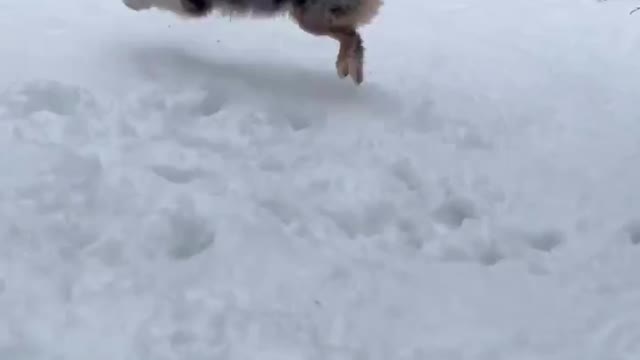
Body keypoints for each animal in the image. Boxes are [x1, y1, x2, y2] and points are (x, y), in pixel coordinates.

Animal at [123, 0, 382, 84]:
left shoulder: (194, 4)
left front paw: (132, 3)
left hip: (311, 17)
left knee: (352, 37)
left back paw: (346, 67)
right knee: (354, 37)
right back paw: (351, 70)